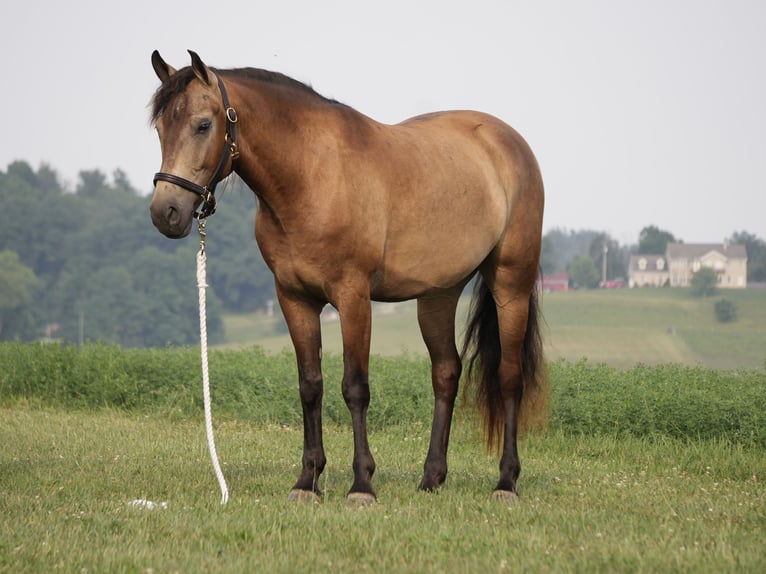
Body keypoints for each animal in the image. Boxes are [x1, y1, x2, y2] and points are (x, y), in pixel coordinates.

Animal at [149, 50, 547, 504]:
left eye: (202, 124)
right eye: (160, 127)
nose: (166, 213)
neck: (312, 176)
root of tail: (507, 140)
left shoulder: (353, 297)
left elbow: (355, 388)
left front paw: (362, 485)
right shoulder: (294, 299)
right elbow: (310, 385)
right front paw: (307, 481)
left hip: (511, 285)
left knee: (509, 377)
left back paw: (506, 482)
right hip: (439, 295)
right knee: (446, 374)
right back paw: (431, 478)